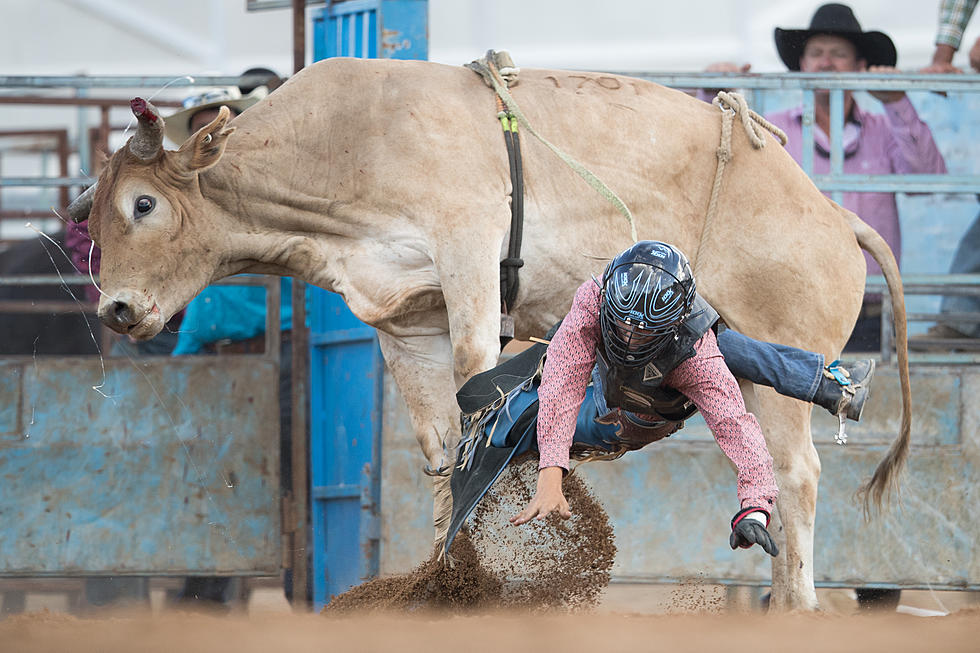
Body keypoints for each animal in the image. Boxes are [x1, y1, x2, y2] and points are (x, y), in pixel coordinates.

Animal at [67, 57, 912, 612]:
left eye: (144, 204)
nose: (117, 310)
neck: (349, 146)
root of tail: (834, 214)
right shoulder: (404, 319)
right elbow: (443, 449)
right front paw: (440, 580)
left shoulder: (468, 251)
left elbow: (479, 395)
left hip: (775, 343)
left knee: (796, 473)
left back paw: (797, 604)